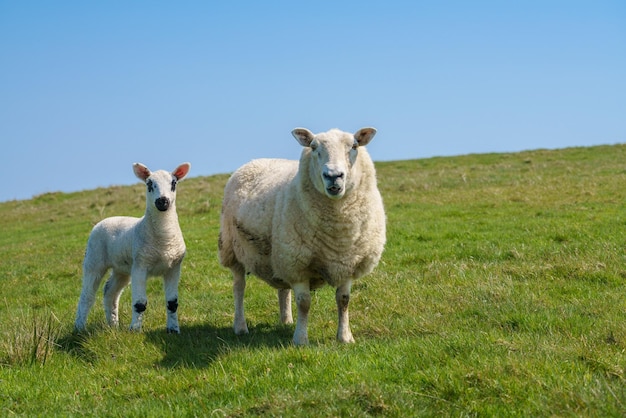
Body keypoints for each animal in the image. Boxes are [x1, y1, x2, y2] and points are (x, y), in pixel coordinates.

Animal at [74, 161, 190, 334]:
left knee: (110, 292)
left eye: (174, 183)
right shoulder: (140, 265)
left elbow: (172, 303)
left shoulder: (174, 267)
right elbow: (140, 303)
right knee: (87, 295)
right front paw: (135, 330)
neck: (163, 239)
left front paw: (173, 330)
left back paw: (113, 325)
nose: (162, 201)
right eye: (149, 184)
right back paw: (79, 328)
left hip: (121, 268)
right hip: (94, 259)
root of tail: (106, 219)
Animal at [218, 127, 386, 346]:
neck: (338, 234)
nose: (333, 176)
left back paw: (286, 320)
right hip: (234, 249)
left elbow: (343, 300)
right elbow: (304, 303)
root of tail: (255, 161)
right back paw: (240, 326)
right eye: (313, 147)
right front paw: (300, 339)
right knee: (239, 287)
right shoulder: (298, 265)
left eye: (354, 146)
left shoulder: (347, 263)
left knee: (283, 288)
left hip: (280, 254)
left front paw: (345, 337)